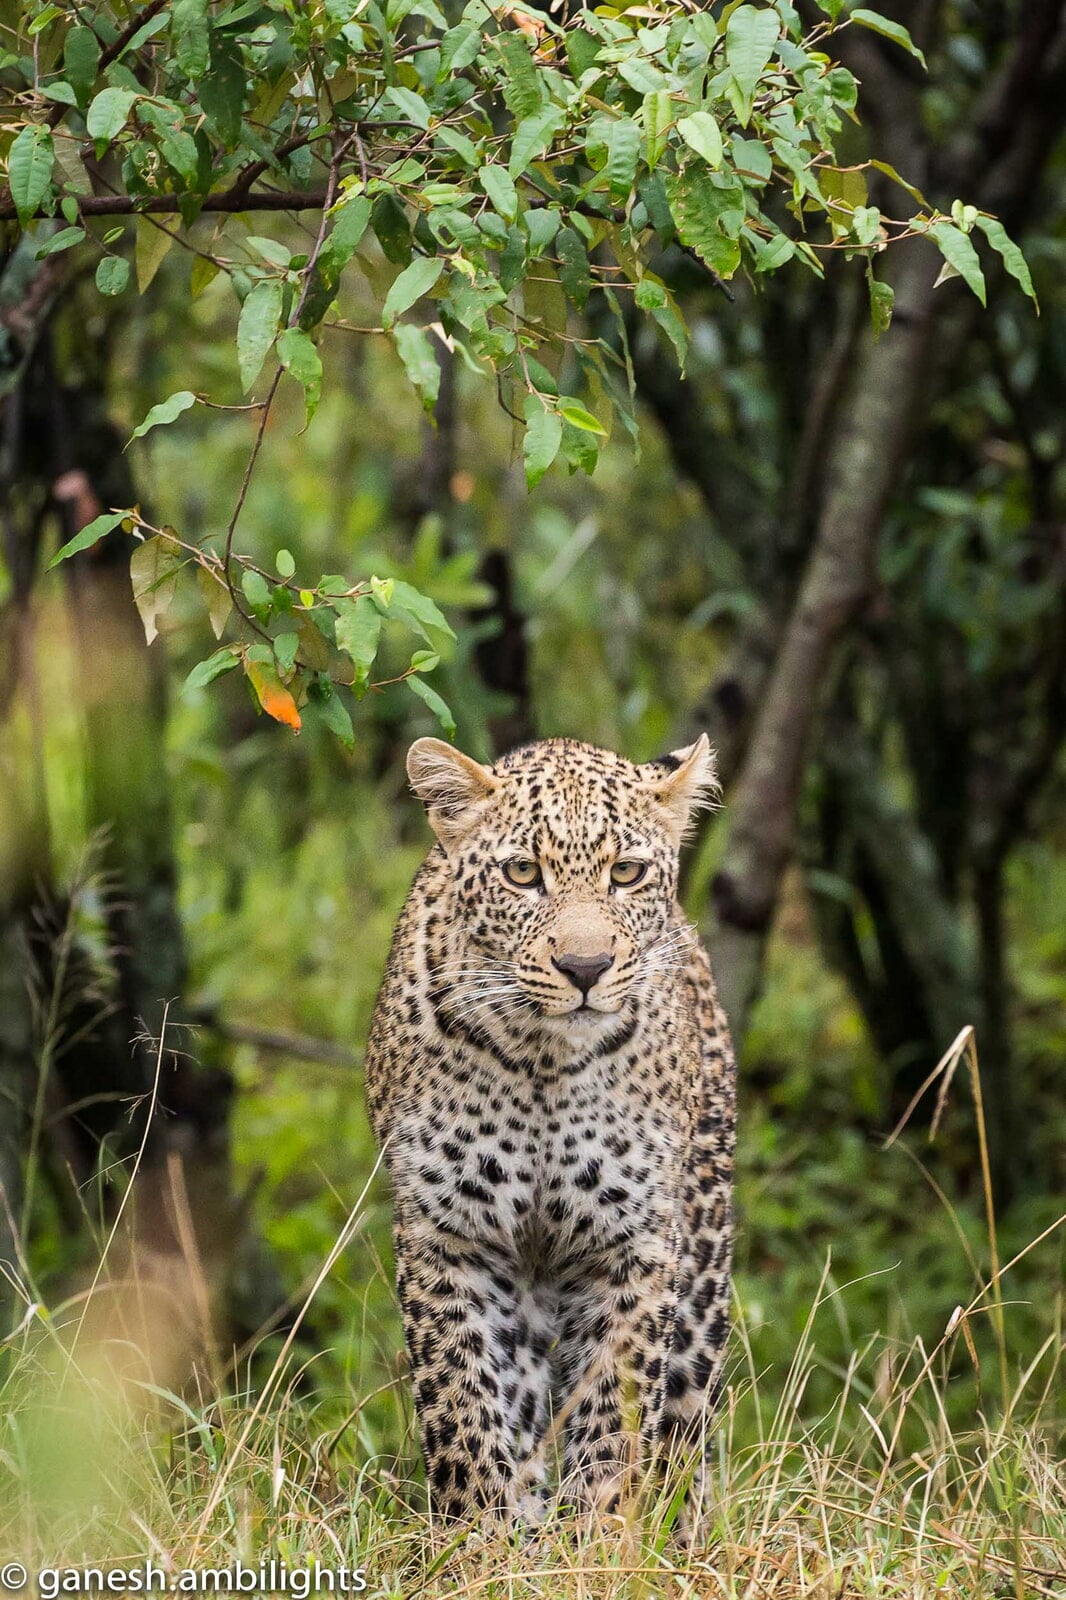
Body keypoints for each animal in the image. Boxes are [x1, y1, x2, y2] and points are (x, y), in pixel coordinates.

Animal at [364, 733, 735, 1525]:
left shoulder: (633, 1243)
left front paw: (601, 1532)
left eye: (625, 873)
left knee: (686, 1424)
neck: (543, 1060)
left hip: (704, 1260)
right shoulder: (448, 1235)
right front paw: (481, 1537)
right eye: (522, 874)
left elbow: (614, 1409)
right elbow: (462, 1403)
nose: (586, 967)